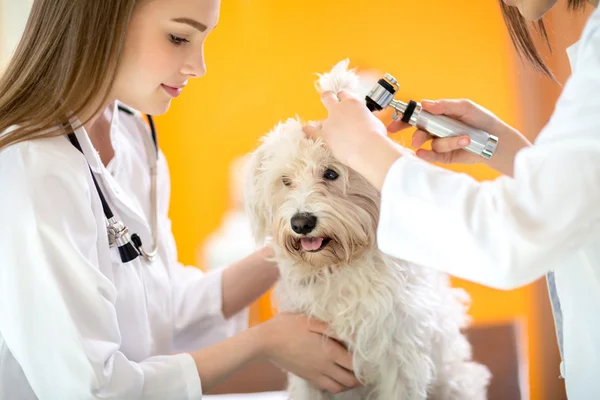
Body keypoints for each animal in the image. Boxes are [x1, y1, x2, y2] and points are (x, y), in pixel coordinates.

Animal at [246, 60, 490, 400]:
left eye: (331, 173)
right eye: (285, 181)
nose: (301, 223)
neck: (341, 268)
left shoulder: (400, 358)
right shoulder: (310, 369)